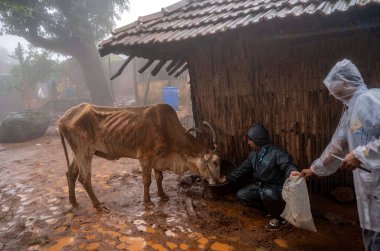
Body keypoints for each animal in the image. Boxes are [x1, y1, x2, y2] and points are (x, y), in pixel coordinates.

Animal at [57, 103, 221, 211]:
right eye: (215, 162)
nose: (223, 179)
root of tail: (63, 118)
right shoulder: (145, 157)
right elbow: (147, 181)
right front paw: (147, 202)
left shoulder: (158, 159)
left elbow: (159, 178)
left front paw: (163, 195)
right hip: (84, 152)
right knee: (84, 178)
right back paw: (97, 204)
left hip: (78, 153)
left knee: (71, 174)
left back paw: (73, 202)